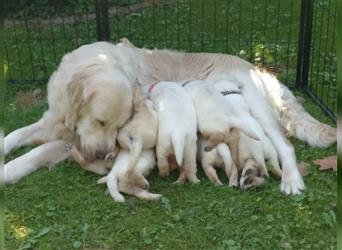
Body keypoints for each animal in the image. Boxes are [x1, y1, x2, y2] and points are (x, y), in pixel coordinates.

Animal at [2, 37, 336, 195]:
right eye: (101, 122)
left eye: (117, 125)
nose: (105, 155)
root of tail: (256, 66)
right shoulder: (53, 119)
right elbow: (15, 134)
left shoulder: (73, 139)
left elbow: (37, 152)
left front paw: (8, 171)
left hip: (257, 109)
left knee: (285, 145)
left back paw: (291, 180)